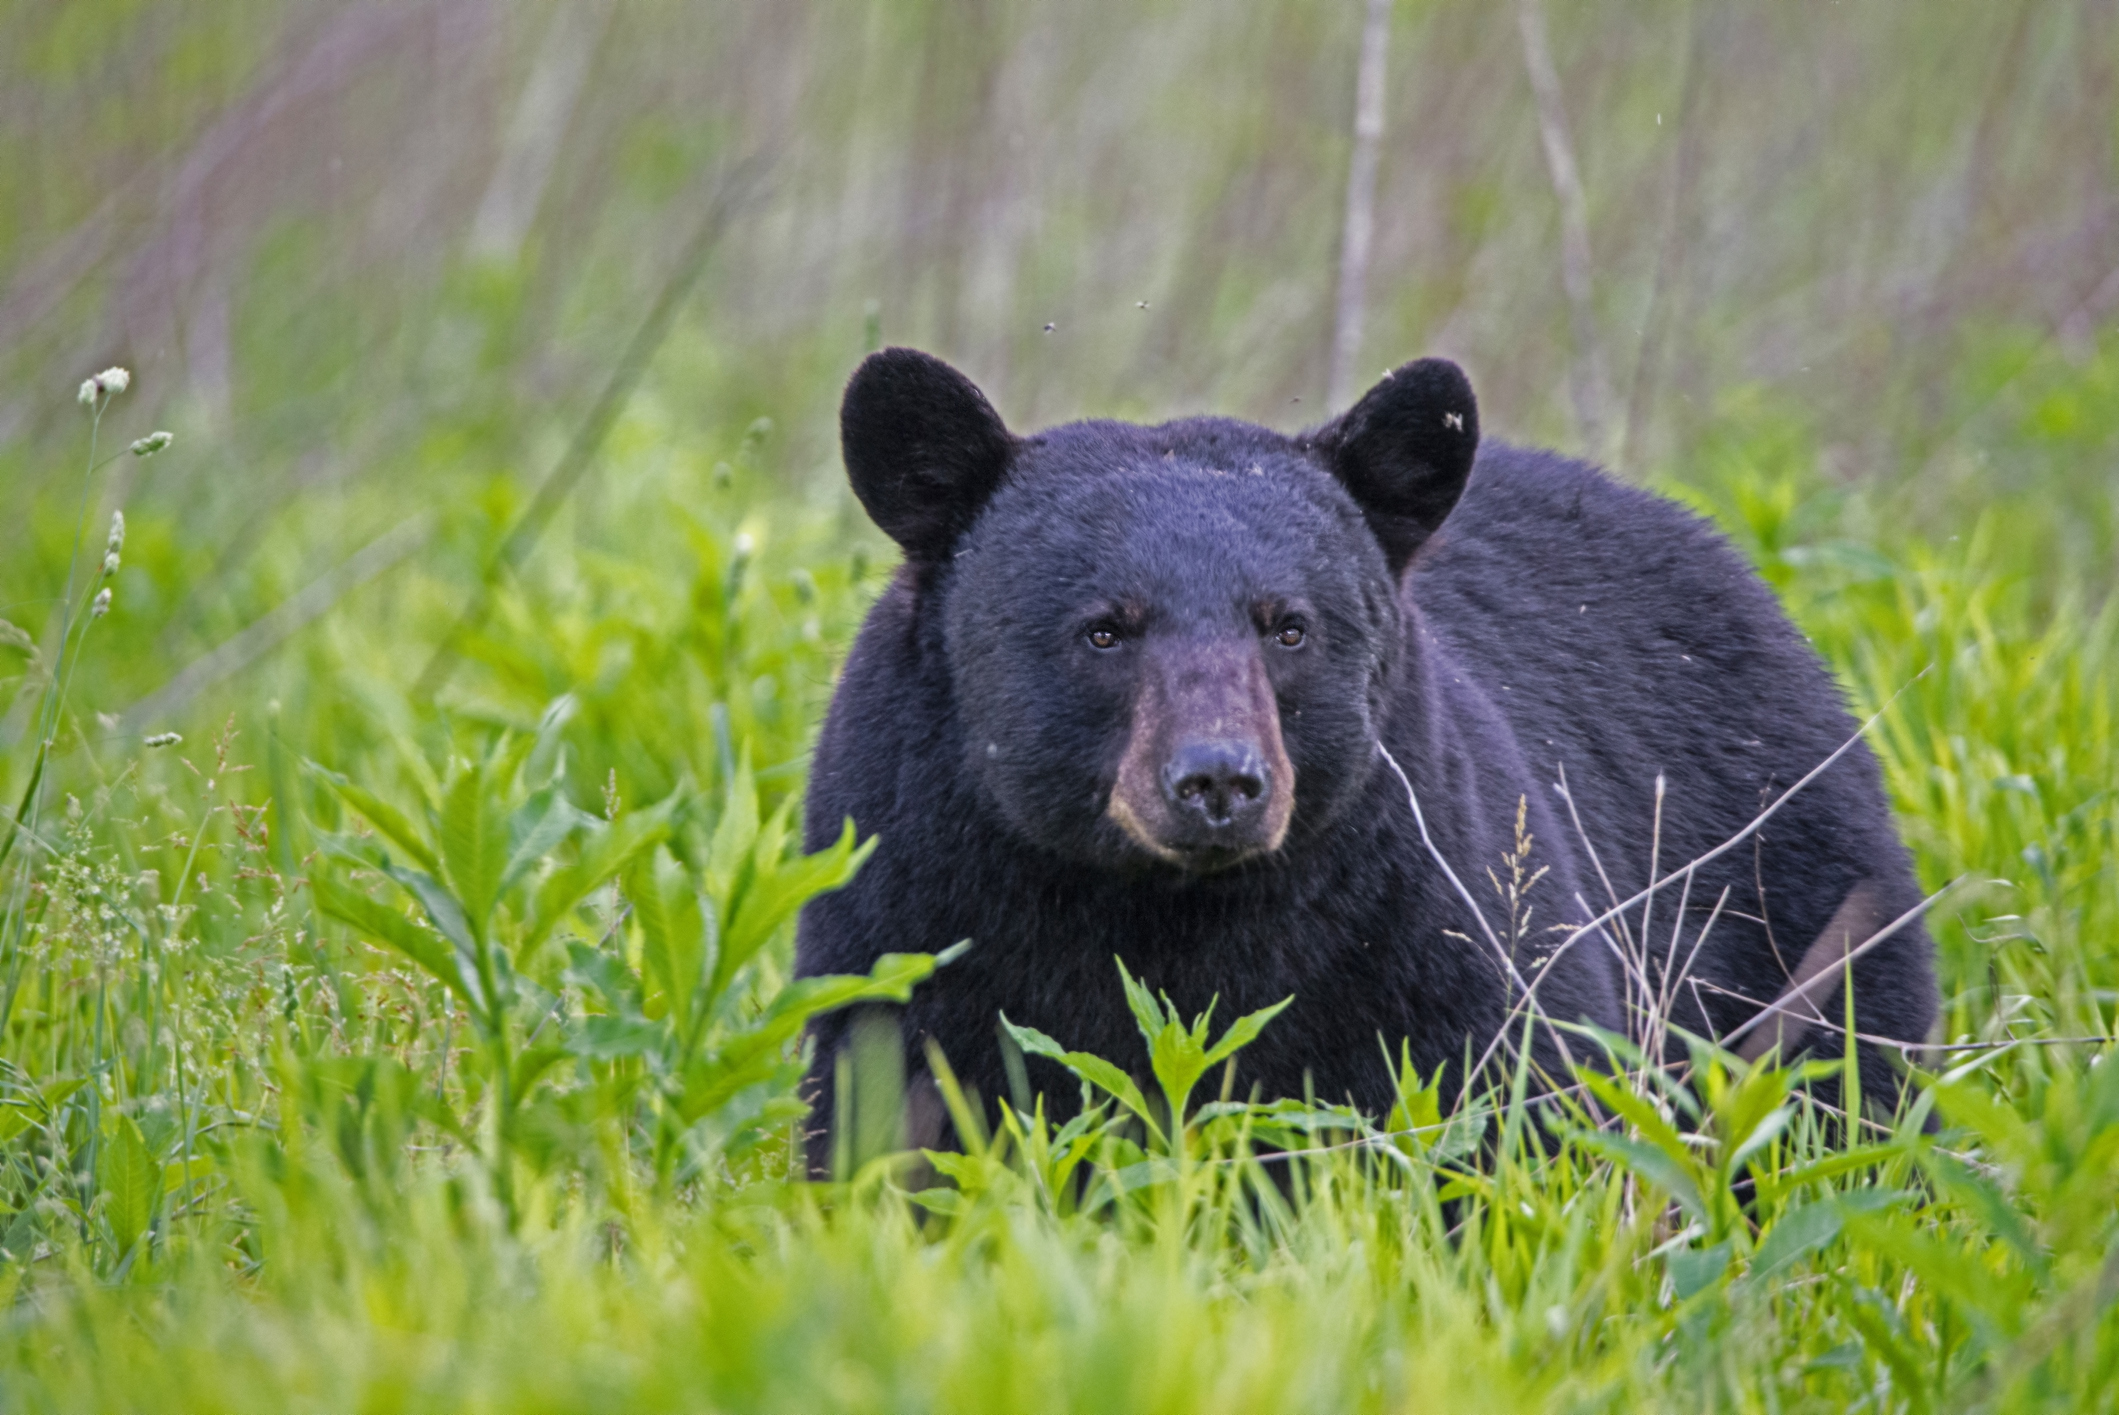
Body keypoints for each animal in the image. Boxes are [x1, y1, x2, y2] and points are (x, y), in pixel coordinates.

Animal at [796, 347, 1941, 1169]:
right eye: (1104, 629)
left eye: (1288, 625)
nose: (1218, 781)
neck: (1165, 909)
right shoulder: (910, 904)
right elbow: (893, 1116)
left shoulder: (1426, 916)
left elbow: (1513, 1109)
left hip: (1790, 910)